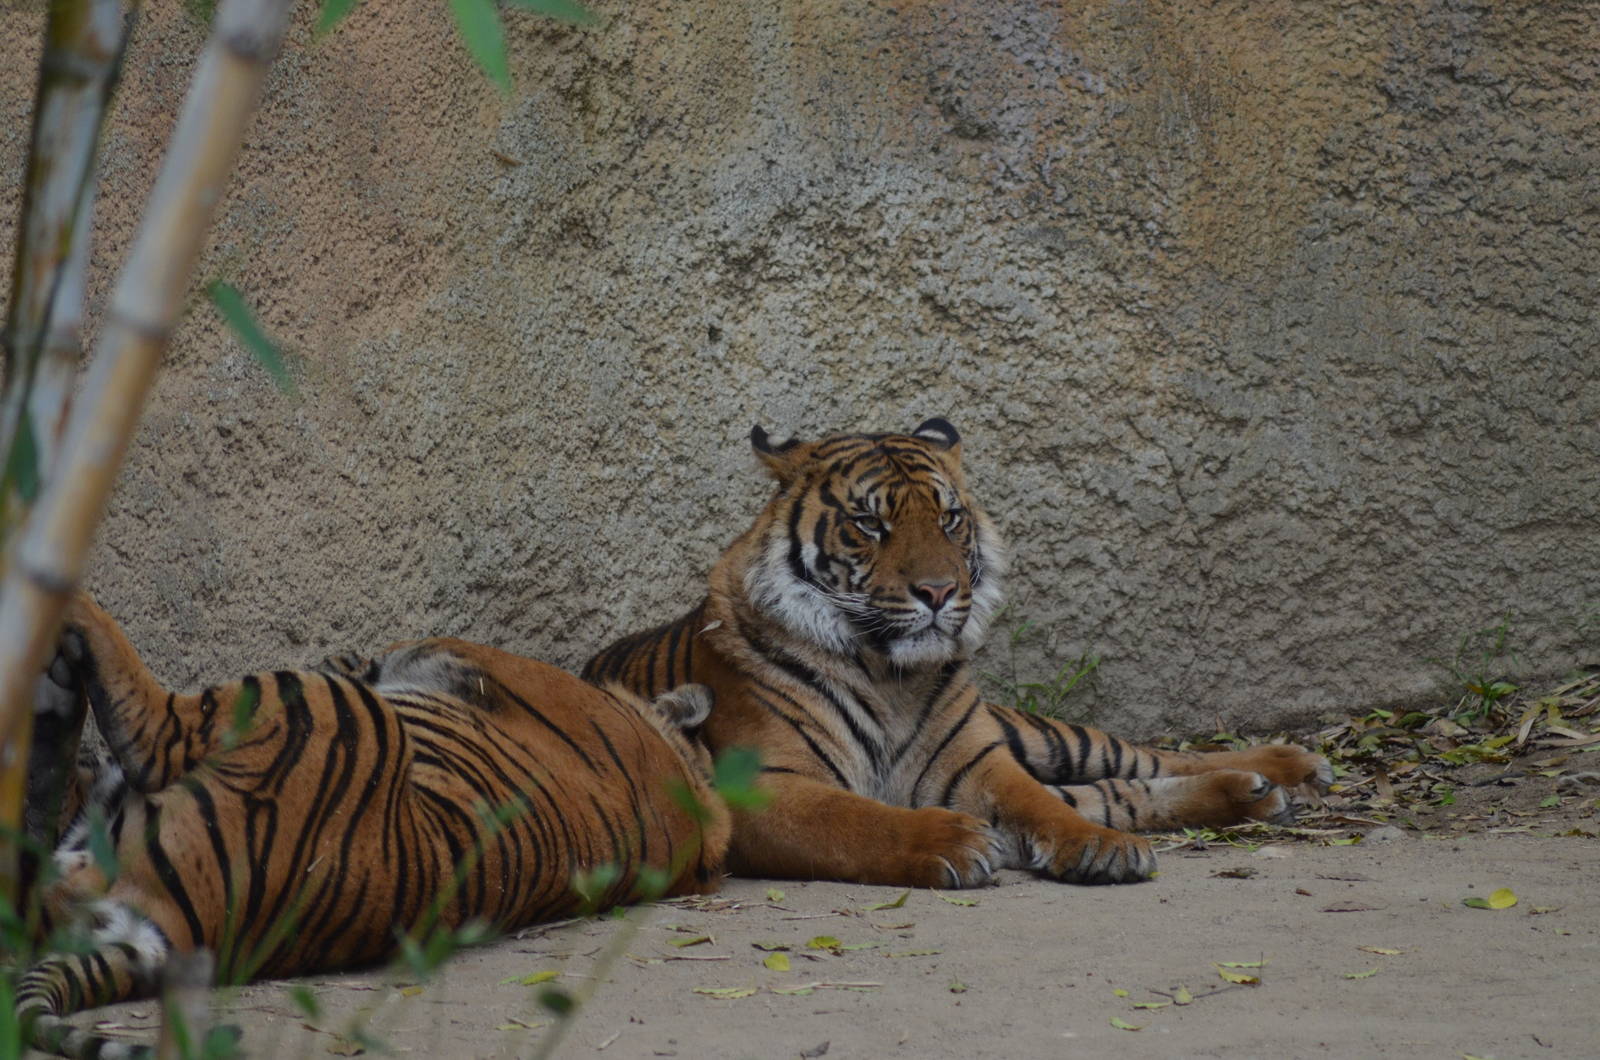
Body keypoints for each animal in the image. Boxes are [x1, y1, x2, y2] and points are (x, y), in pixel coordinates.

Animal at [585, 418, 1333, 888]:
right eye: (870, 523)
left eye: (948, 518)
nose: (940, 591)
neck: (888, 673)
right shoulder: (765, 785)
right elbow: (856, 818)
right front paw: (954, 841)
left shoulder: (981, 760)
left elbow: (1043, 806)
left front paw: (1098, 850)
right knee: (1119, 790)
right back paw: (1254, 791)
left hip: (1035, 733)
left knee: (1136, 761)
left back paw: (1284, 769)